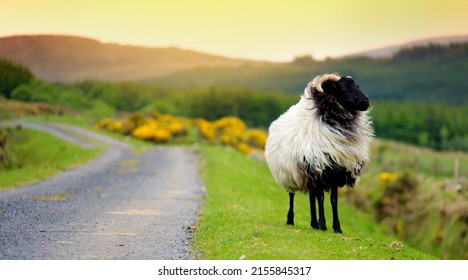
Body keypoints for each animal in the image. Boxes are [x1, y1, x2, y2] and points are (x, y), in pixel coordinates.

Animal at [266, 72, 374, 234]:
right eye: (343, 88)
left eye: (357, 86)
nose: (365, 102)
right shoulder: (318, 169)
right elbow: (322, 198)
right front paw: (323, 225)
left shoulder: (336, 171)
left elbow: (333, 200)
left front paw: (336, 227)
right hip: (289, 174)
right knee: (292, 196)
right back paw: (291, 220)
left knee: (312, 197)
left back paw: (313, 223)